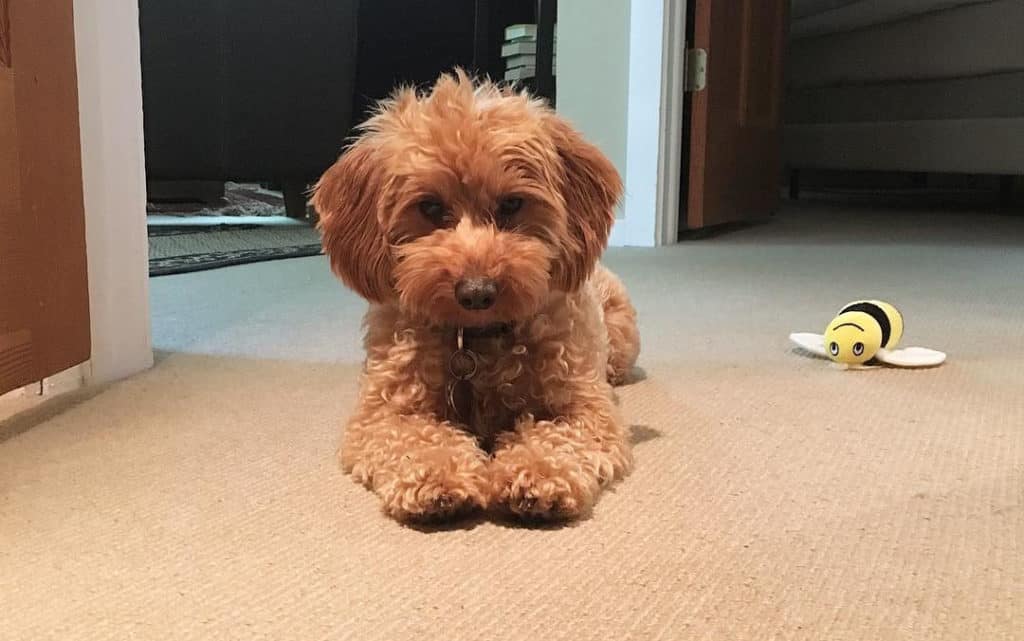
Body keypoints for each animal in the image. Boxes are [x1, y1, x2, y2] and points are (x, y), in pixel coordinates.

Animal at [311, 71, 634, 520]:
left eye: (512, 203)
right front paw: (436, 475)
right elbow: (414, 440)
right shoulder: (384, 412)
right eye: (430, 207)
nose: (477, 292)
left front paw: (538, 473)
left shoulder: (586, 407)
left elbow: (558, 437)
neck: (477, 339)